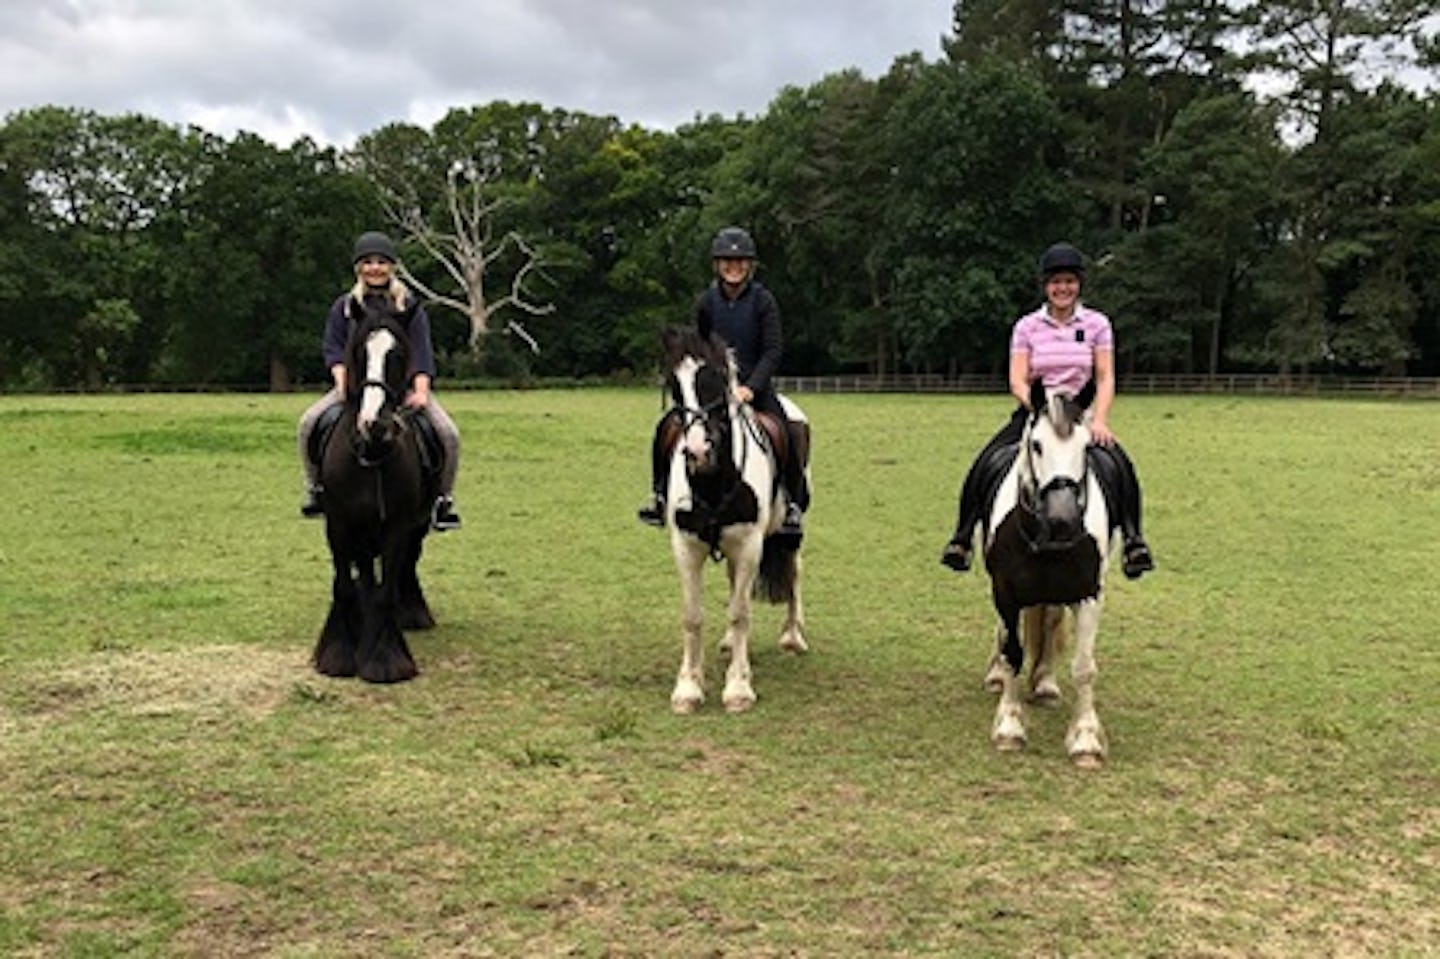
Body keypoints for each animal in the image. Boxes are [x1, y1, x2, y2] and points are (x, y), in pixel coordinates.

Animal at [309, 302, 432, 682]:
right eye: (360, 353)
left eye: (399, 355)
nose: (374, 424)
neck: (372, 454)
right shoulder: (339, 523)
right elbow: (347, 585)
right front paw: (339, 653)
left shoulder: (398, 525)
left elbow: (385, 592)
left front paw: (384, 658)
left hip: (417, 525)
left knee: (407, 566)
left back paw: (413, 613)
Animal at [659, 326, 806, 708]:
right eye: (674, 384)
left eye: (717, 380)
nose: (698, 451)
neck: (713, 480)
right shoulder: (686, 546)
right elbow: (692, 616)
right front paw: (688, 686)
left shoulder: (751, 545)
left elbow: (741, 613)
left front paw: (738, 688)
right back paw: (728, 644)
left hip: (790, 535)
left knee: (794, 572)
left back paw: (793, 636)